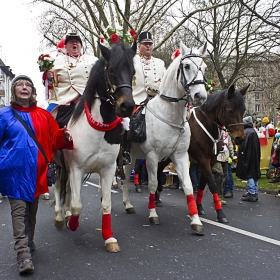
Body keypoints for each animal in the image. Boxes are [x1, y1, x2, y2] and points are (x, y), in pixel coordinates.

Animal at [52, 41, 137, 252]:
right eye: (112, 70)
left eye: (133, 72)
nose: (127, 107)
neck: (99, 129)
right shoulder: (77, 169)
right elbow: (77, 205)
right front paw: (73, 223)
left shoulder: (107, 170)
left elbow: (106, 204)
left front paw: (109, 238)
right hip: (58, 165)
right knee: (57, 186)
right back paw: (60, 217)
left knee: (66, 188)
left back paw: (65, 214)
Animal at [121, 41, 207, 234]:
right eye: (187, 65)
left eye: (204, 67)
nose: (201, 96)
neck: (170, 115)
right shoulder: (152, 157)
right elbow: (153, 184)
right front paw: (153, 214)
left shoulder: (180, 156)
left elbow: (188, 185)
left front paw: (196, 220)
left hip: (132, 157)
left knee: (124, 178)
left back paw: (128, 205)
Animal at [155, 83, 249, 223]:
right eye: (230, 110)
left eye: (243, 110)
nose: (240, 138)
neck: (206, 123)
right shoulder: (202, 158)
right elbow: (212, 184)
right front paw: (220, 213)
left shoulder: (211, 160)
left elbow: (202, 183)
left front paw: (199, 207)